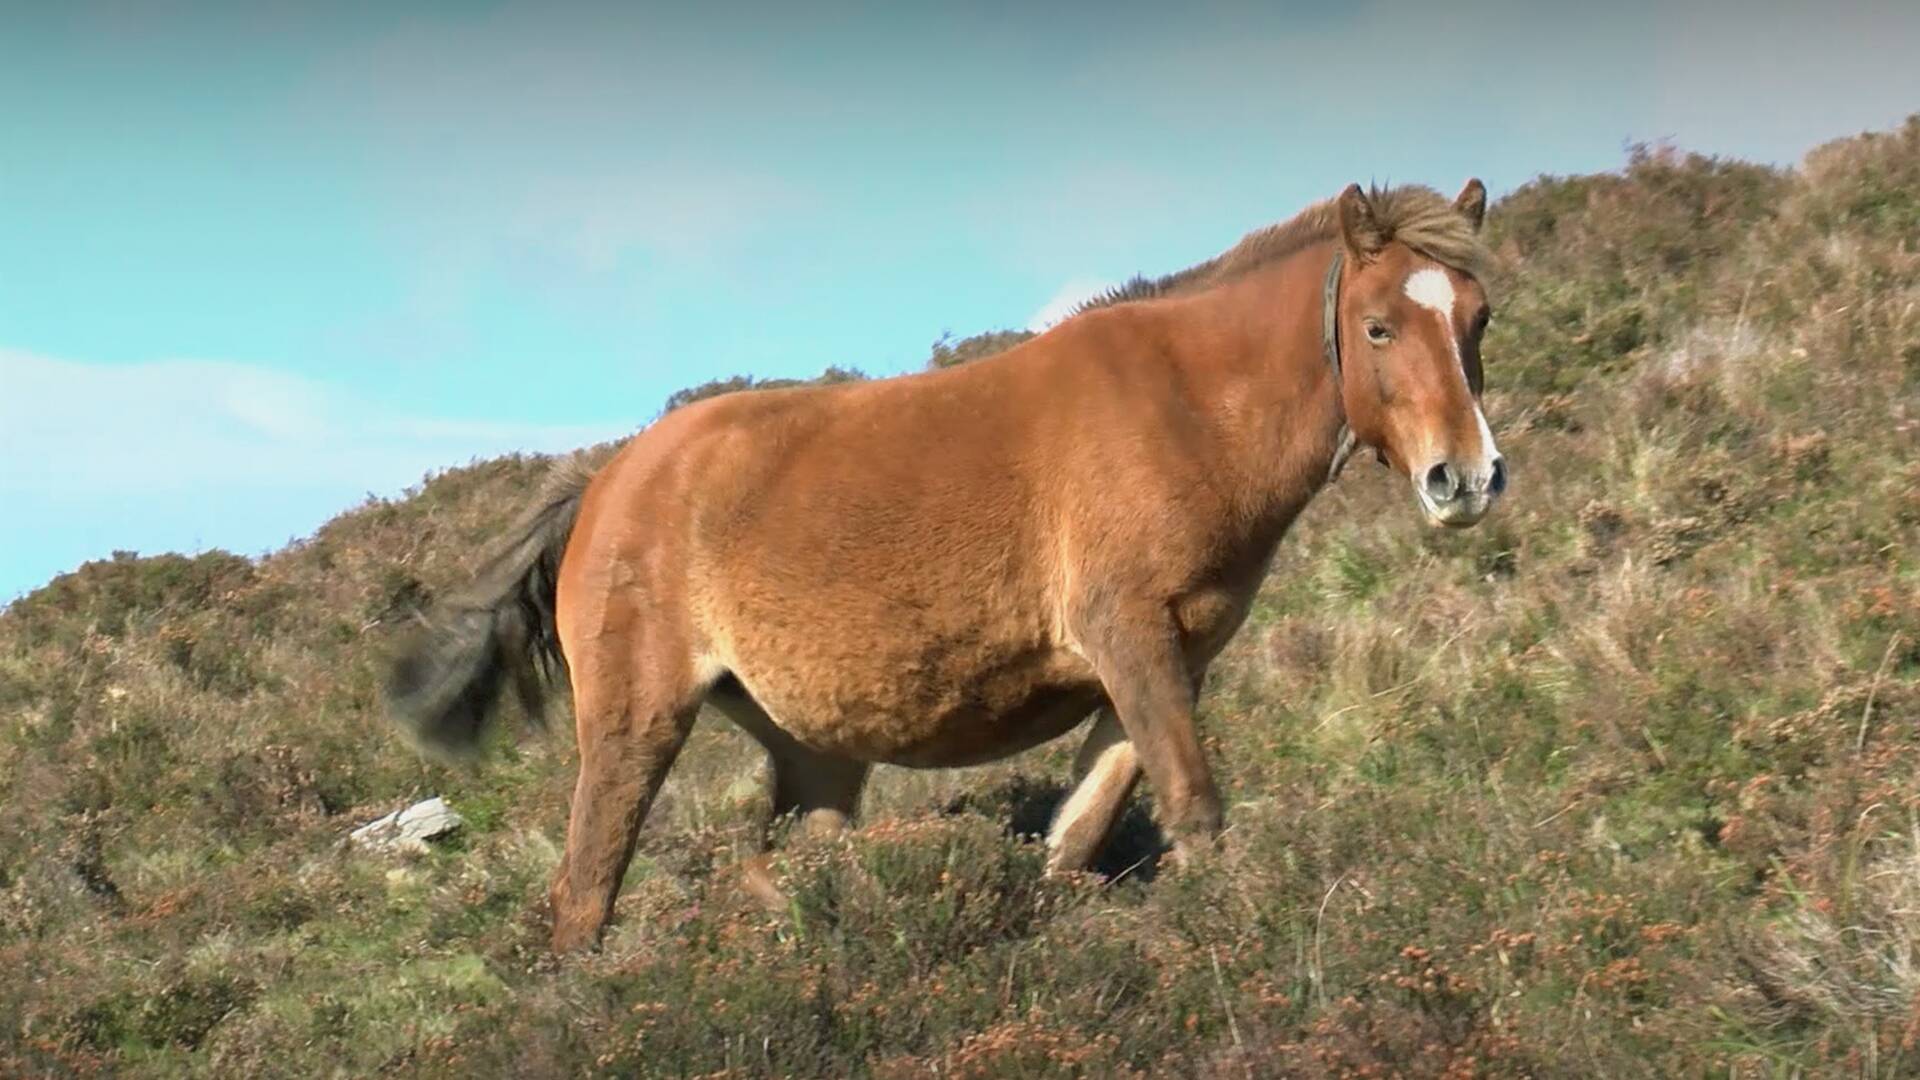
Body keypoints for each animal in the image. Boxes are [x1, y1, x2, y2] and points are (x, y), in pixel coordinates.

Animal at [385, 178, 1497, 949]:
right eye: (1378, 326)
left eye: (1477, 317)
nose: (1468, 478)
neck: (1184, 407)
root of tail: (607, 481)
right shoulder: (1131, 639)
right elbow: (1192, 806)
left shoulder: (1163, 662)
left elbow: (1079, 830)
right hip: (636, 726)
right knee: (584, 895)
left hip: (817, 751)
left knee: (780, 873)